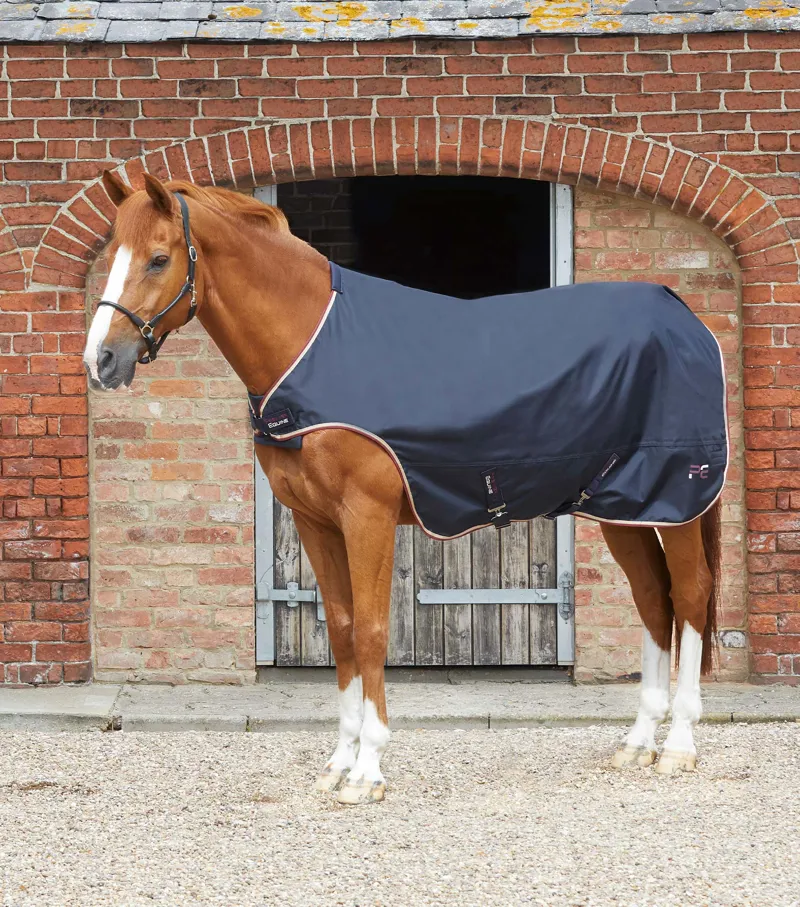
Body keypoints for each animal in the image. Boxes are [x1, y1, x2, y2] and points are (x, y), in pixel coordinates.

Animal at [84, 170, 722, 805]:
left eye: (159, 258)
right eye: (111, 255)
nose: (101, 361)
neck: (311, 347)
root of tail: (684, 318)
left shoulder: (366, 515)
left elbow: (371, 631)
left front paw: (368, 770)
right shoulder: (315, 521)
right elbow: (342, 630)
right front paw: (338, 763)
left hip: (677, 501)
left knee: (691, 594)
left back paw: (678, 746)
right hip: (625, 506)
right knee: (652, 599)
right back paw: (637, 743)